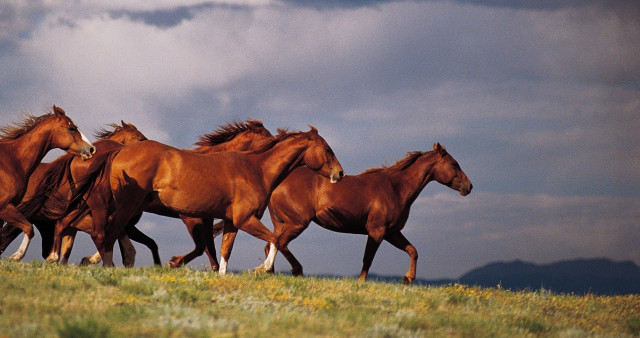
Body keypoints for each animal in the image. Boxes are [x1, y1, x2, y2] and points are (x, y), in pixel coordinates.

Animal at [0, 105, 95, 258]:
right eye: (71, 128)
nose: (92, 149)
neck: (13, 160)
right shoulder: (4, 207)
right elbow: (29, 228)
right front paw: (17, 256)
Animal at [57, 125, 342, 270]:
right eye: (327, 149)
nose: (339, 173)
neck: (255, 169)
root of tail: (116, 152)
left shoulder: (230, 221)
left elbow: (223, 252)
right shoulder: (239, 219)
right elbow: (275, 240)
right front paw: (263, 269)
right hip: (122, 206)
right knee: (104, 233)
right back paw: (103, 266)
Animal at [262, 141, 472, 284]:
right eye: (454, 164)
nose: (469, 187)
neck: (396, 188)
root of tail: (277, 183)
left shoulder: (392, 232)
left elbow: (413, 250)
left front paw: (407, 279)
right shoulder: (377, 231)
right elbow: (367, 260)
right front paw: (361, 283)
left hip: (283, 223)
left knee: (271, 244)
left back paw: (269, 273)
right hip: (297, 223)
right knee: (280, 243)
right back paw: (294, 270)